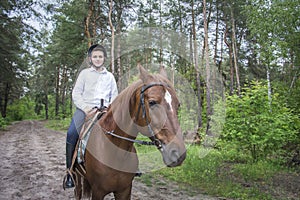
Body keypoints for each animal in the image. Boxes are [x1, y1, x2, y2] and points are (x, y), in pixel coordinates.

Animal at [74, 65, 186, 199]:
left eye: (178, 105)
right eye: (152, 102)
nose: (179, 154)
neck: (117, 152)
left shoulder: (124, 191)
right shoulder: (98, 192)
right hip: (77, 178)